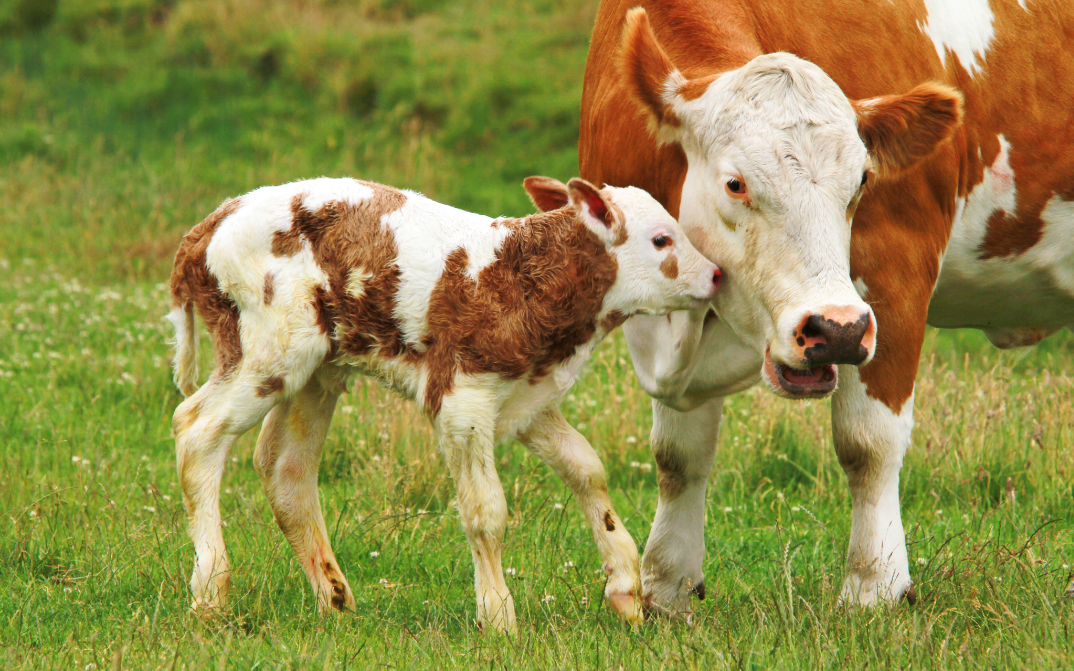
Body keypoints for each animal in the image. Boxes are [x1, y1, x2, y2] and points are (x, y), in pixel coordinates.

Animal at [165, 172, 721, 626]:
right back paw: (210, 593)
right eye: (661, 239)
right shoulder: (461, 398)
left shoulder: (526, 395)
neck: (520, 278)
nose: (716, 274)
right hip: (270, 350)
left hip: (318, 368)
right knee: (196, 429)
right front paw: (497, 618)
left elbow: (587, 468)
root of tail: (211, 223)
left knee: (284, 467)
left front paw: (625, 586)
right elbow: (485, 510)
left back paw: (335, 599)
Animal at [575, 0, 1074, 614]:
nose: (834, 331)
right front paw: (667, 589)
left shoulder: (893, 272)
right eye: (735, 184)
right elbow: (677, 455)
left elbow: (869, 443)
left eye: (862, 180)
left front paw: (873, 589)